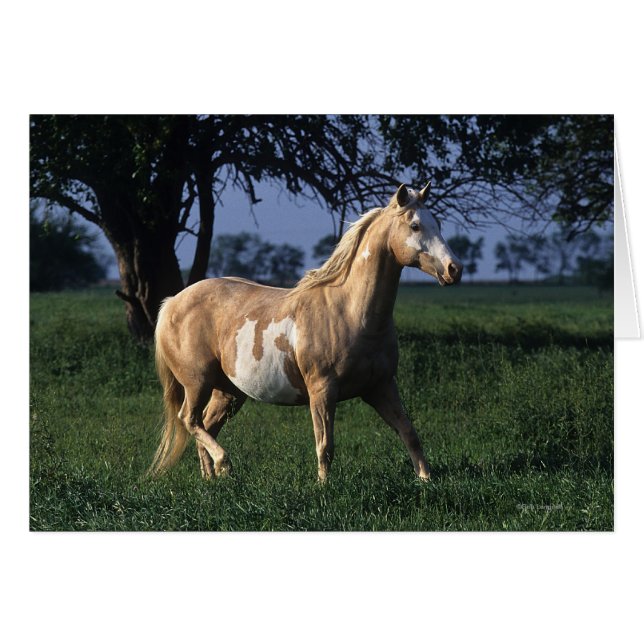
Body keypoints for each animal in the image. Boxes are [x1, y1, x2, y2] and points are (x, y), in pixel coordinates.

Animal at [149, 182, 463, 482]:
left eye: (437, 222)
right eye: (415, 225)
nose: (454, 269)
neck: (350, 313)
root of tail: (172, 302)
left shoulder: (381, 387)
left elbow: (409, 432)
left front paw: (426, 480)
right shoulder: (322, 390)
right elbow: (325, 445)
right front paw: (323, 487)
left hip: (228, 391)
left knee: (206, 425)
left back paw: (212, 479)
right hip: (197, 382)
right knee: (189, 419)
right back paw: (224, 464)